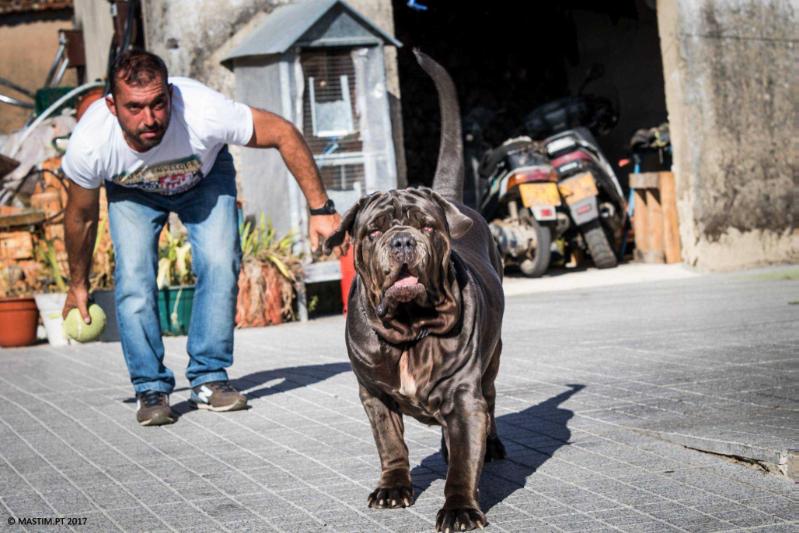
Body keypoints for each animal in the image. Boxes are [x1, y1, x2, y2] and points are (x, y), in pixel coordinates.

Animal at [326, 51, 506, 532]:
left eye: (426, 226)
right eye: (373, 231)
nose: (403, 241)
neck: (410, 331)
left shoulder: (464, 396)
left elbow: (464, 460)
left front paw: (460, 509)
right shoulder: (374, 396)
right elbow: (391, 445)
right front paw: (392, 488)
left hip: (492, 361)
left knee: (490, 402)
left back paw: (492, 445)